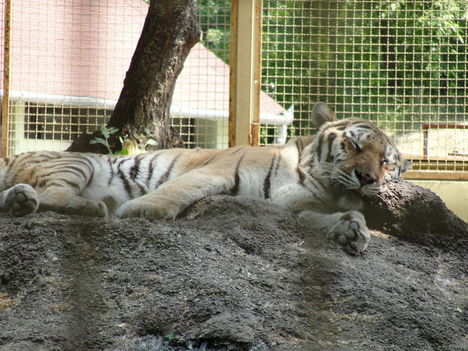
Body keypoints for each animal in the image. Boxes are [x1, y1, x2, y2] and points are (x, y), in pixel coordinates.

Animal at [0, 103, 410, 254]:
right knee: (52, 192)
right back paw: (96, 206)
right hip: (79, 163)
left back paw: (22, 201)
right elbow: (179, 190)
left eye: (386, 162)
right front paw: (140, 210)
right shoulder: (220, 169)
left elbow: (333, 218)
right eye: (354, 144)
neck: (319, 180)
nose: (366, 177)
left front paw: (353, 231)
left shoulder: (295, 207)